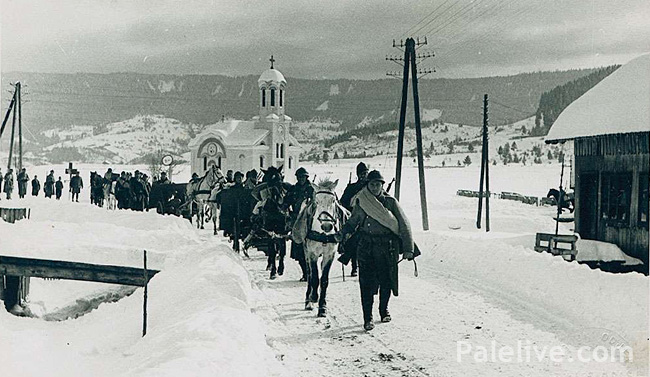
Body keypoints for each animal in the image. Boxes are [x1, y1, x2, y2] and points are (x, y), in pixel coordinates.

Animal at [292, 178, 346, 316]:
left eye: (333, 201)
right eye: (317, 201)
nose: (327, 226)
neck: (323, 234)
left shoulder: (329, 254)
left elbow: (324, 280)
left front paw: (322, 307)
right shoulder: (312, 254)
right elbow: (314, 277)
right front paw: (313, 298)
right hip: (306, 252)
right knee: (309, 274)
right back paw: (308, 300)